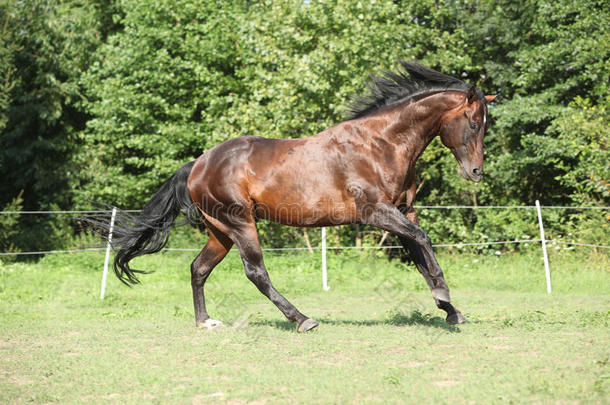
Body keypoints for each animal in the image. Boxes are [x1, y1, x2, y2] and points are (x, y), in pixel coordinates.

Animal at [86, 60, 494, 332]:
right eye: (475, 123)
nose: (476, 173)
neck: (381, 144)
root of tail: (199, 164)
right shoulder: (376, 212)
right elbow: (423, 243)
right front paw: (444, 297)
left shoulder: (403, 212)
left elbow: (420, 253)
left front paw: (450, 309)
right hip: (240, 223)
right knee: (256, 272)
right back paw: (302, 319)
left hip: (219, 231)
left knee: (198, 269)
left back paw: (206, 322)